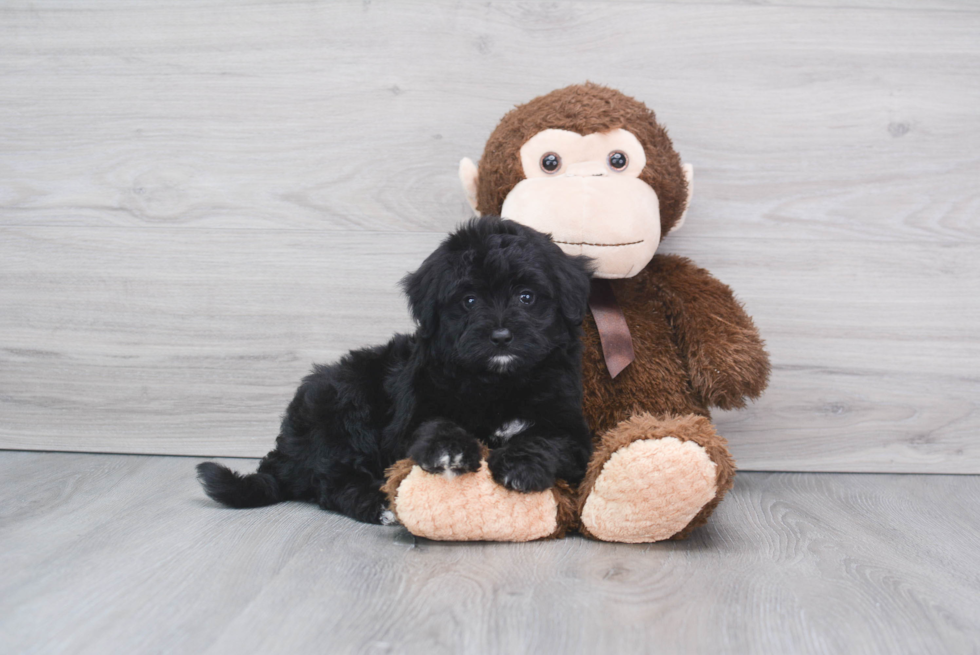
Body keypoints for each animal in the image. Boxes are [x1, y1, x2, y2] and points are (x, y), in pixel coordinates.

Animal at [197, 218, 588, 524]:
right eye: (469, 301)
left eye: (526, 297)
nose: (501, 336)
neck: (496, 382)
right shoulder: (411, 417)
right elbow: (433, 425)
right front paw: (450, 449)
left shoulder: (569, 422)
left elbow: (550, 439)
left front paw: (521, 466)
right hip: (340, 401)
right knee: (332, 479)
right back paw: (379, 503)